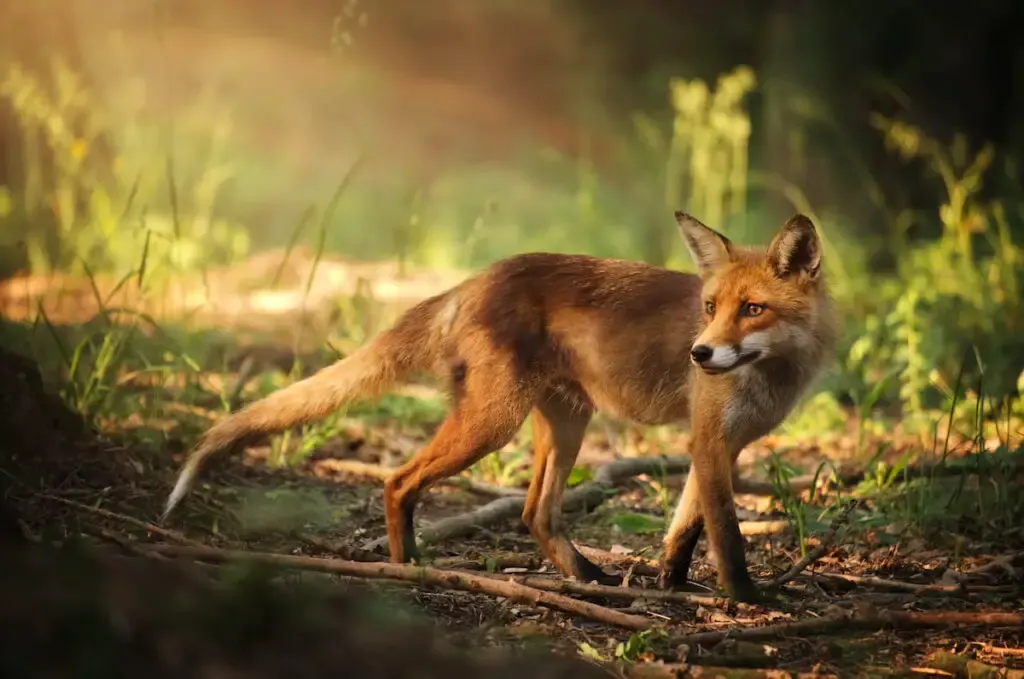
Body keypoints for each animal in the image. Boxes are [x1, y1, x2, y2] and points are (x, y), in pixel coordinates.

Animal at [157, 210, 831, 602]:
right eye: (711, 307)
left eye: (752, 309)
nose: (699, 353)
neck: (773, 374)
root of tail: (473, 279)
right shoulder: (709, 441)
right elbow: (727, 535)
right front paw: (749, 601)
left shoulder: (716, 444)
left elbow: (684, 530)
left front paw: (672, 585)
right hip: (493, 424)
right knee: (398, 482)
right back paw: (405, 573)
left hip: (565, 423)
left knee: (535, 513)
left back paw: (585, 579)